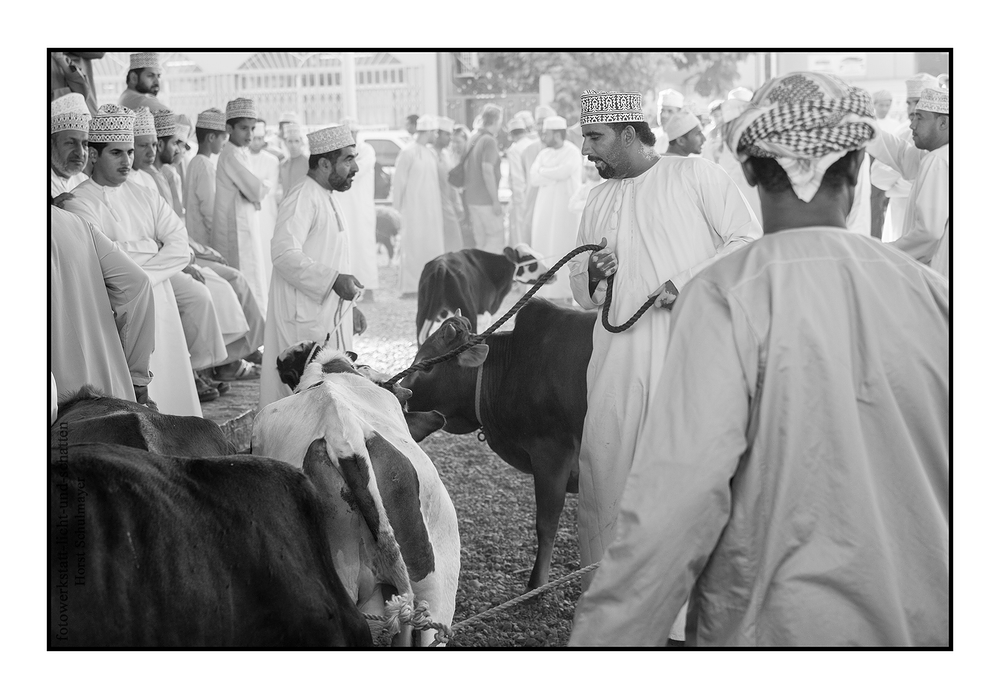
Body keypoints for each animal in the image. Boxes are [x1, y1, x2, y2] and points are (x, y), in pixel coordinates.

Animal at [414, 245, 556, 346]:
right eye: (530, 260)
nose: (554, 276)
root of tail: (441, 266)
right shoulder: (484, 313)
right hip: (469, 311)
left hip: (422, 312)